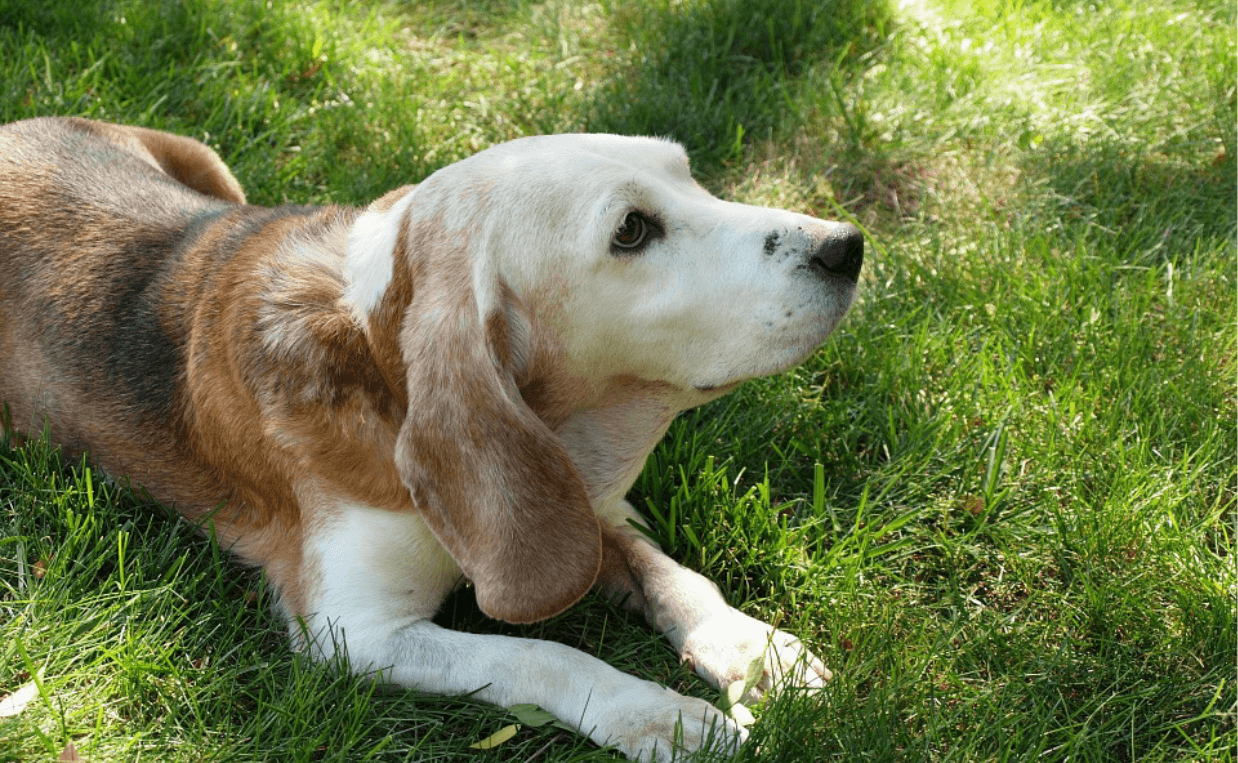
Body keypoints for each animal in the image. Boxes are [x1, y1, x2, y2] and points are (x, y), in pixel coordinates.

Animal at [0, 116, 866, 758]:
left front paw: (753, 649)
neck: (382, 368)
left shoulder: (581, 500)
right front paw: (661, 715)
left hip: (211, 171)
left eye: (687, 175)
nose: (847, 244)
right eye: (631, 230)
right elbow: (537, 653)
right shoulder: (355, 633)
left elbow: (672, 576)